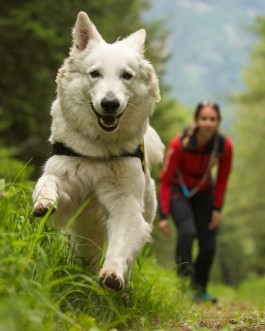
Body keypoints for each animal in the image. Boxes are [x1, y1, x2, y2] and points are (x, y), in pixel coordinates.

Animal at [32, 11, 164, 292]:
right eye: (94, 74)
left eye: (127, 75)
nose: (110, 103)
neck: (98, 150)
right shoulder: (67, 185)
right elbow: (48, 180)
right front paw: (44, 201)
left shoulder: (125, 202)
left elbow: (121, 240)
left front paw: (112, 274)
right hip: (82, 234)